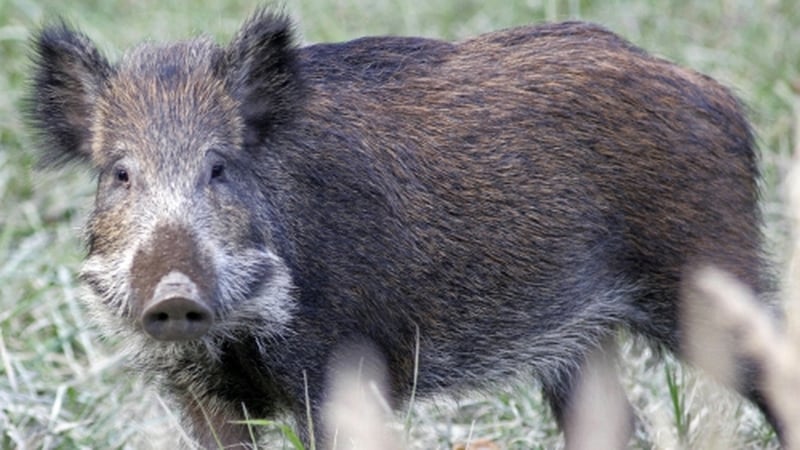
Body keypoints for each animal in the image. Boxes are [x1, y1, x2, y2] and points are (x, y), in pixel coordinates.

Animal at [26, 8, 779, 448]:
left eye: (220, 166)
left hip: (707, 270)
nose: (174, 292)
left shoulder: (336, 370)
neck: (235, 337)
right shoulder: (196, 394)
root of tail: (721, 99)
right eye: (120, 173)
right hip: (580, 334)